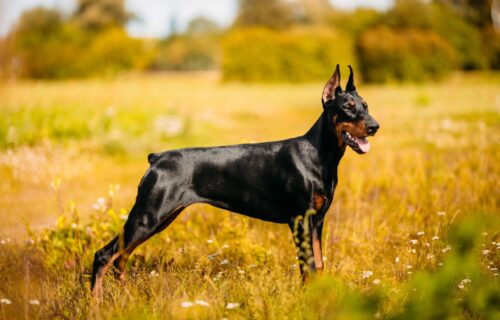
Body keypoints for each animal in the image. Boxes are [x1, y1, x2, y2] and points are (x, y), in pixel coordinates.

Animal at [91, 65, 378, 298]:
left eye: (366, 105)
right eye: (347, 107)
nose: (375, 126)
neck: (319, 154)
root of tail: (156, 158)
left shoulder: (317, 220)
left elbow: (318, 263)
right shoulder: (300, 221)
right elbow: (307, 266)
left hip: (161, 218)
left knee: (120, 258)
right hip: (148, 216)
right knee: (104, 255)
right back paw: (96, 304)